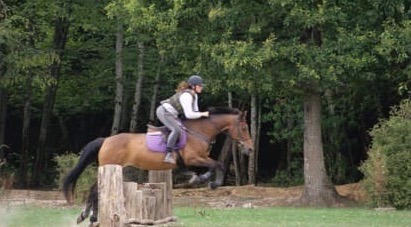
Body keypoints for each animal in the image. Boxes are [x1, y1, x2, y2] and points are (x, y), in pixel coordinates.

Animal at [63, 107, 254, 224]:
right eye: (244, 128)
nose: (250, 149)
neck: (198, 132)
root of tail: (106, 140)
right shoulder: (194, 158)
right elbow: (218, 165)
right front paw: (211, 182)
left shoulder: (193, 160)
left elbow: (211, 166)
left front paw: (199, 179)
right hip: (111, 166)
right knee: (96, 189)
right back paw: (90, 216)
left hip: (112, 167)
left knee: (95, 189)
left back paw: (87, 215)